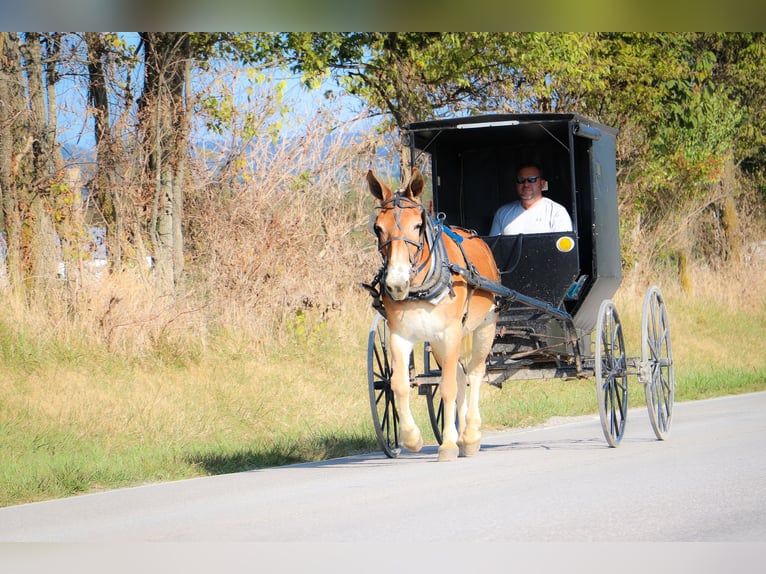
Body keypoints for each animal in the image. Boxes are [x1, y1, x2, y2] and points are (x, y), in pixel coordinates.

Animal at [366, 167, 500, 461]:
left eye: (418, 225)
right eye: (378, 228)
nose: (396, 283)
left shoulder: (450, 332)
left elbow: (448, 388)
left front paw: (448, 445)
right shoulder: (400, 335)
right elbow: (399, 384)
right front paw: (411, 438)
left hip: (484, 327)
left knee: (474, 374)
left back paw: (470, 435)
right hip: (440, 342)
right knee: (461, 376)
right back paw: (462, 436)